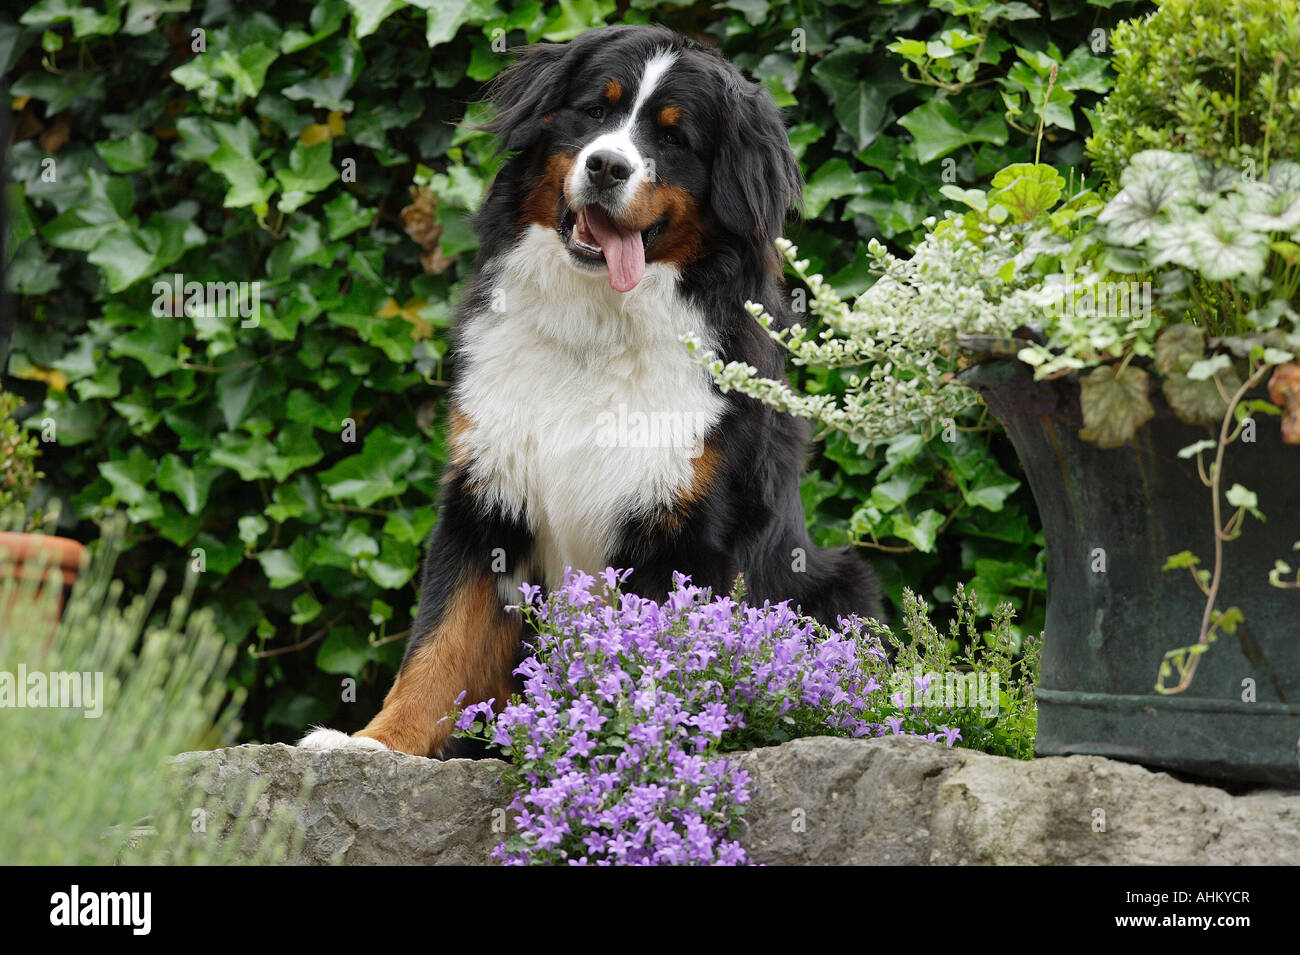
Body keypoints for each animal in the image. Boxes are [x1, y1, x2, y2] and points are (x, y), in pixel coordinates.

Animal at [297, 22, 883, 758]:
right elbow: (438, 643)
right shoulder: (486, 501)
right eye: (594, 110)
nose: (606, 166)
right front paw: (373, 742)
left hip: (841, 582)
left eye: (674, 138)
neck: (595, 332)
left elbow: (659, 656)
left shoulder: (688, 533)